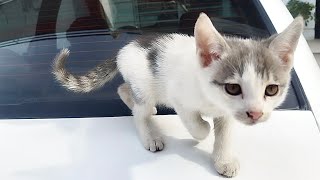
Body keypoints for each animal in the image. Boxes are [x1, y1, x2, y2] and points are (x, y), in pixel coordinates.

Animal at [52, 13, 302, 178]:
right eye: (233, 88)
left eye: (271, 90)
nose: (256, 113)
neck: (211, 100)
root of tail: (125, 48)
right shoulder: (180, 99)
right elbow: (198, 126)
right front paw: (204, 128)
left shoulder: (227, 112)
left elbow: (225, 134)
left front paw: (223, 159)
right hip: (146, 86)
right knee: (138, 110)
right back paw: (149, 134)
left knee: (123, 89)